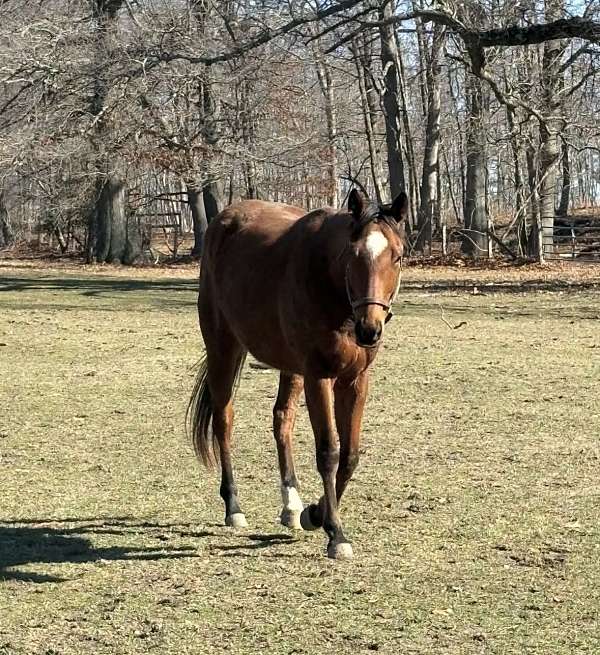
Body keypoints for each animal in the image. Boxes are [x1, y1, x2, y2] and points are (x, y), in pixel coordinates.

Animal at [187, 189, 407, 559]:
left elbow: (349, 455)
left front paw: (313, 513)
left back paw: (291, 505)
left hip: (290, 368)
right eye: (354, 254)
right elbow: (328, 452)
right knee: (224, 420)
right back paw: (233, 506)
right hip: (224, 349)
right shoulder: (319, 376)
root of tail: (224, 220)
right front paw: (335, 533)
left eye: (397, 256)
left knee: (282, 420)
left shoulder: (355, 380)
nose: (370, 329)